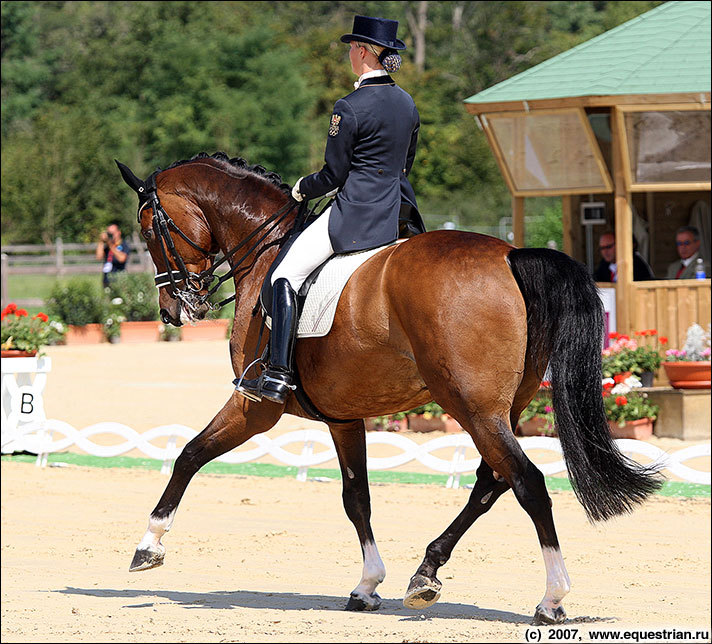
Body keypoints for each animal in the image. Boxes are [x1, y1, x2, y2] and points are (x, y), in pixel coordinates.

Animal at [118, 152, 660, 624]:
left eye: (147, 229)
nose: (173, 310)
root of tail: (510, 254)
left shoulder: (255, 406)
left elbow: (189, 454)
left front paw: (149, 545)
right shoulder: (342, 416)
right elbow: (356, 495)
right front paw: (367, 585)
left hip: (473, 407)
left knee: (528, 483)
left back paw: (552, 597)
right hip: (504, 407)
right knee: (490, 484)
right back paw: (425, 575)